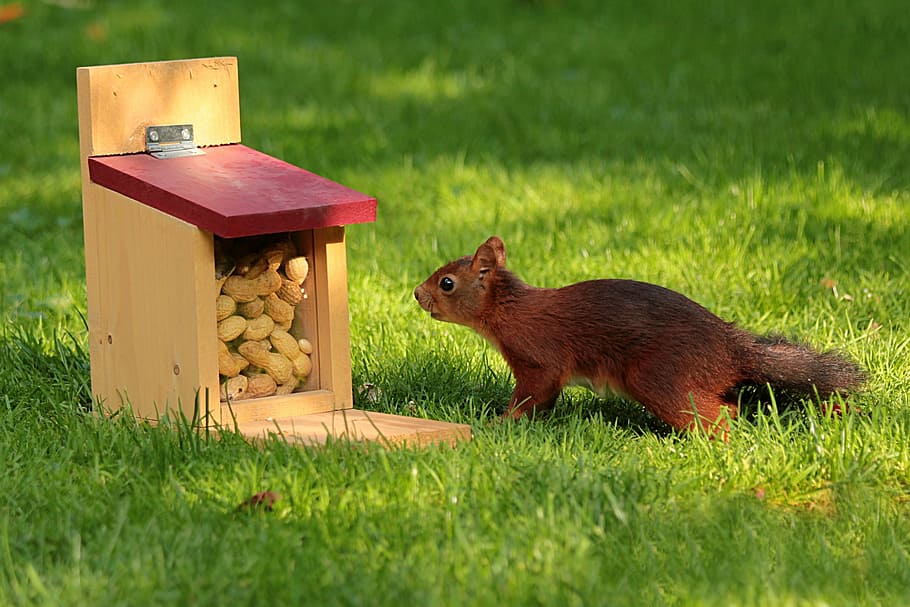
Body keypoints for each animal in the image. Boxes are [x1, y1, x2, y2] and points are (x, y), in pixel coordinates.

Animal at [414, 236, 865, 434]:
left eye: (447, 283)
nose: (418, 294)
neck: (508, 310)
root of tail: (730, 350)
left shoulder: (538, 357)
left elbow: (533, 393)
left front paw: (501, 421)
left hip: (658, 377)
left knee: (719, 414)